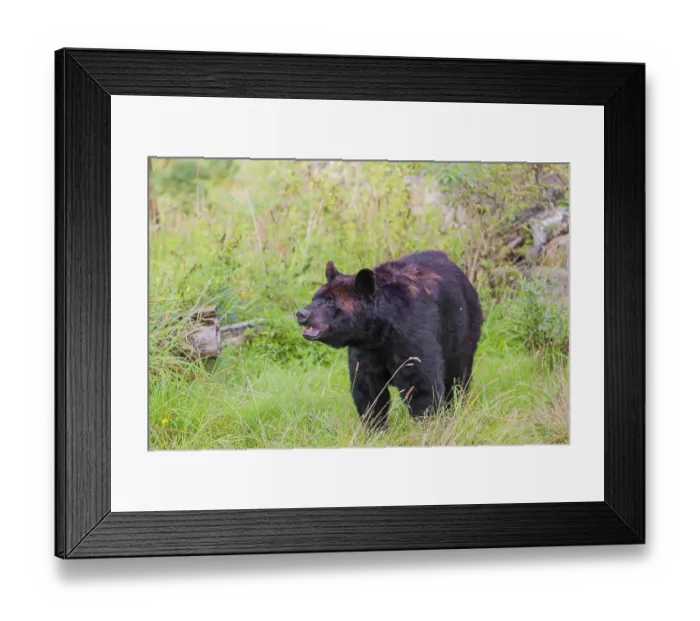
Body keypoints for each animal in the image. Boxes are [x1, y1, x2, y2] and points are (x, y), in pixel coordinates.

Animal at [296, 250, 483, 429]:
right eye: (315, 297)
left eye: (330, 302)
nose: (301, 314)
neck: (380, 332)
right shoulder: (365, 351)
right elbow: (368, 390)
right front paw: (374, 428)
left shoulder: (412, 337)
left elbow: (421, 385)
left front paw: (429, 425)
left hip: (461, 330)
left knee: (457, 376)